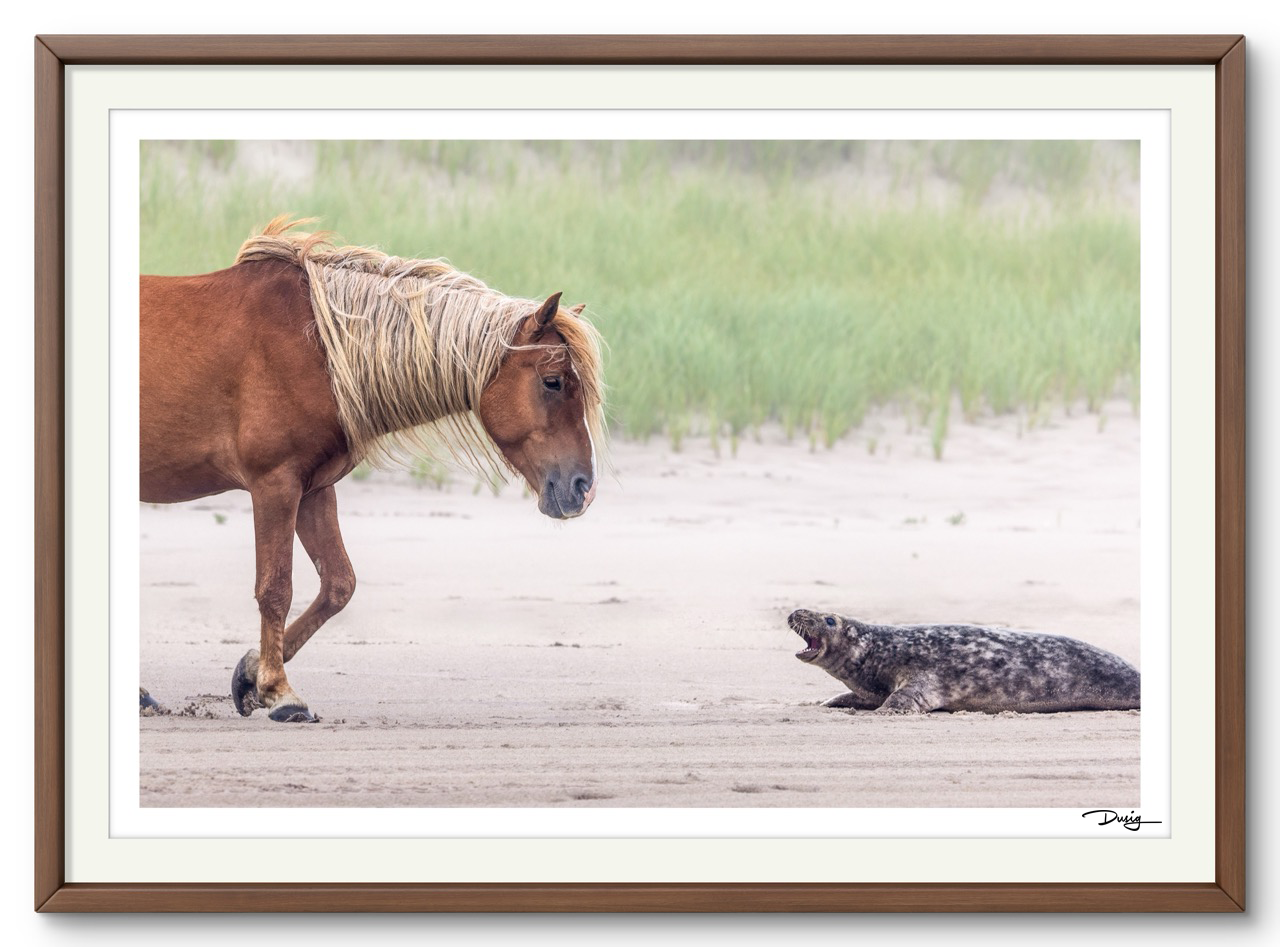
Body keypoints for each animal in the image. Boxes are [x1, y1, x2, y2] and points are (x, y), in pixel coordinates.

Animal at [140, 218, 604, 721]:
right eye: (553, 381)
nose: (582, 487)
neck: (318, 346)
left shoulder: (312, 488)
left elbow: (338, 585)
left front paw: (250, 674)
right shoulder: (274, 485)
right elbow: (276, 589)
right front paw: (280, 691)